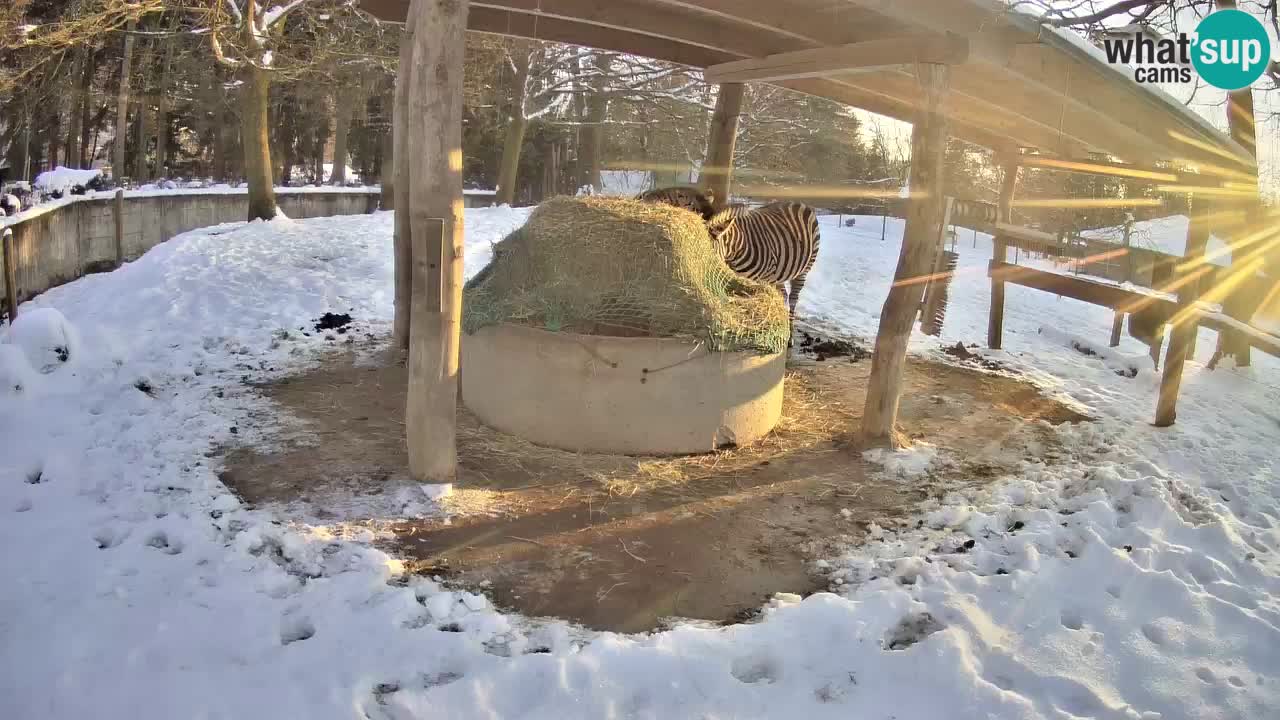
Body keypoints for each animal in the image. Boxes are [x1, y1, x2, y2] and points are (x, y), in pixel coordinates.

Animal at [706, 201, 820, 344]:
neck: (737, 248)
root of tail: (800, 203)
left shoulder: (764, 279)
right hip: (779, 274)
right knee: (784, 295)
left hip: (802, 270)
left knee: (793, 299)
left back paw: (790, 337)